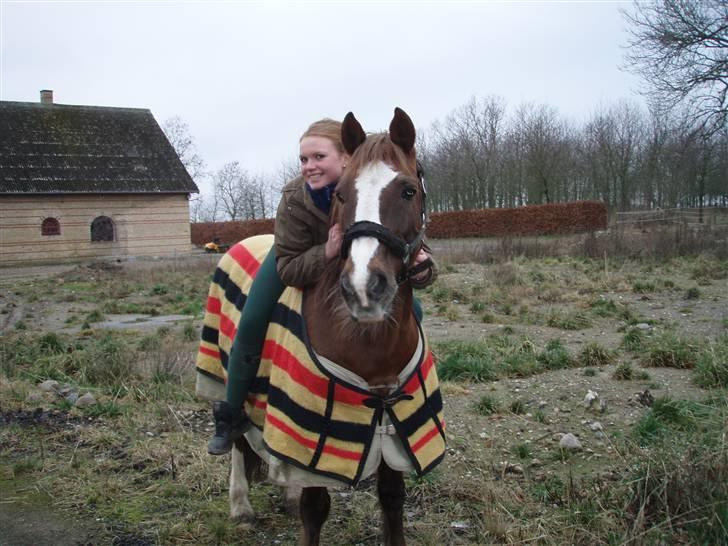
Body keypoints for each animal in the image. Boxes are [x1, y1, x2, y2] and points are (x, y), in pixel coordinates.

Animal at [196, 108, 444, 540]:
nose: (364, 287)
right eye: (341, 193)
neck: (368, 343)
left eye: (409, 191)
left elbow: (392, 502)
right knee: (241, 439)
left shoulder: (392, 432)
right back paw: (240, 505)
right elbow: (314, 511)